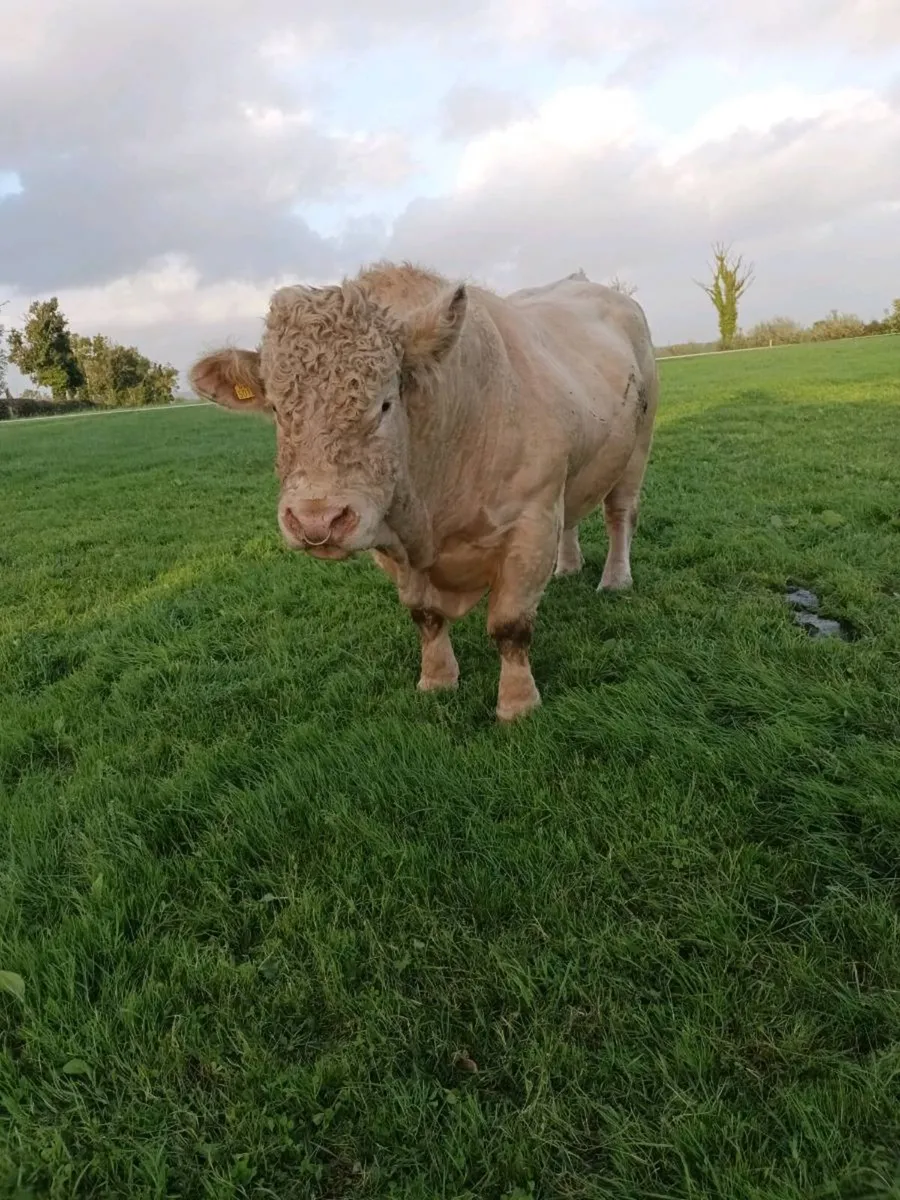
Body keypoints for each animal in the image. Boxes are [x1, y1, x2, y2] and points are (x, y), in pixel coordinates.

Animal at [188, 262, 658, 722]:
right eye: (276, 409)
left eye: (384, 404)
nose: (315, 520)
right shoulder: (392, 538)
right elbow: (426, 616)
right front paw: (436, 680)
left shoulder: (532, 520)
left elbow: (510, 626)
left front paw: (517, 704)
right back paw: (567, 566)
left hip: (636, 448)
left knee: (619, 515)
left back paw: (615, 579)